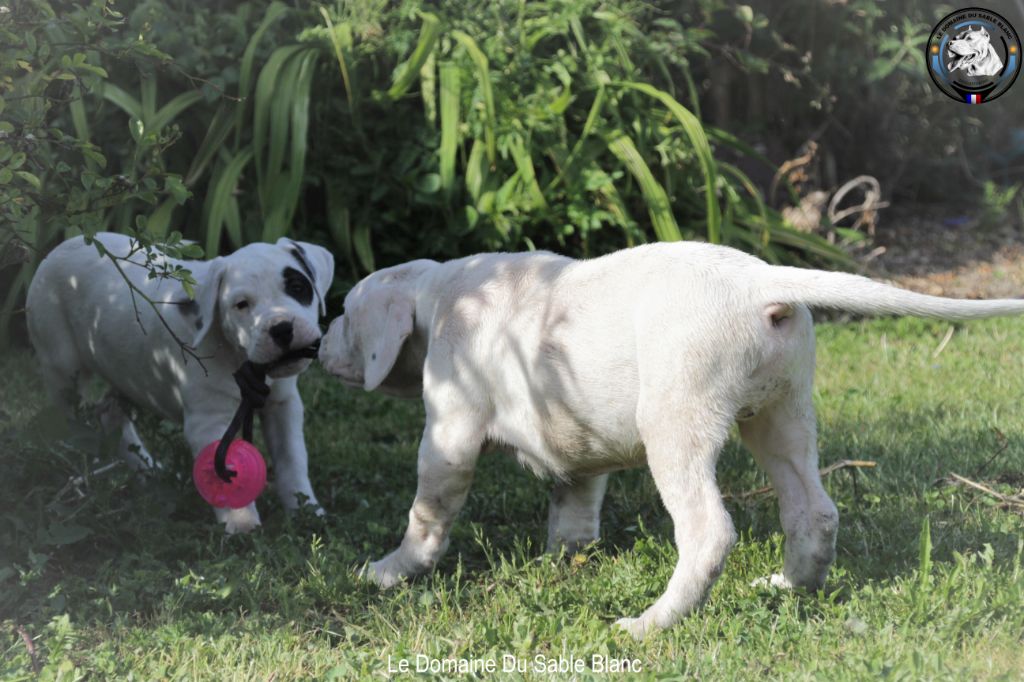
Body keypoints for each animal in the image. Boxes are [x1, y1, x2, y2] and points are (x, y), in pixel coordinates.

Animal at [27, 231, 335, 532]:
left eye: (297, 287)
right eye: (241, 305)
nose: (282, 328)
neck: (234, 353)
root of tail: (63, 246)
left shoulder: (283, 407)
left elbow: (292, 461)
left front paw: (306, 511)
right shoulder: (208, 421)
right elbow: (221, 469)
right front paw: (241, 525)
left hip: (125, 371)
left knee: (112, 414)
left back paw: (148, 471)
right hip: (63, 369)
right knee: (71, 418)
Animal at [319, 242, 1024, 638]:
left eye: (345, 316)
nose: (317, 346)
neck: (441, 296)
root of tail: (763, 282)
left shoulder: (449, 437)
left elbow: (427, 515)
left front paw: (390, 571)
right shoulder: (578, 455)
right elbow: (573, 511)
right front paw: (561, 563)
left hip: (677, 426)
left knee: (709, 532)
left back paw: (650, 625)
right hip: (781, 417)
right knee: (813, 511)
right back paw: (788, 587)